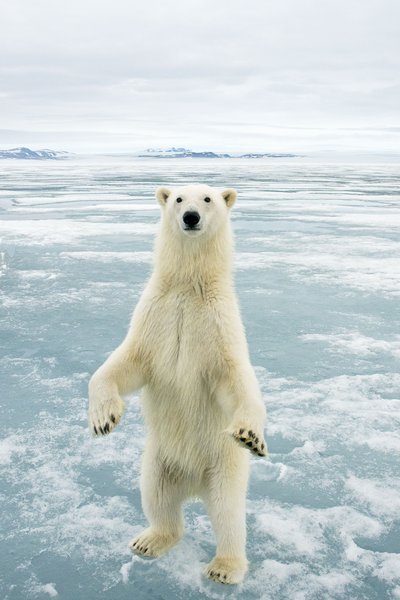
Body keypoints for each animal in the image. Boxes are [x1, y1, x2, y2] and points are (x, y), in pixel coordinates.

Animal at [89, 184, 268, 584]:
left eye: (208, 199)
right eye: (178, 199)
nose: (190, 217)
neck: (188, 286)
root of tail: (194, 486)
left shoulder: (218, 324)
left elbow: (234, 377)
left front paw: (251, 434)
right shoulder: (155, 315)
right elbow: (126, 363)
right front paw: (104, 418)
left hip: (222, 465)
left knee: (228, 512)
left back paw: (225, 567)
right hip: (160, 460)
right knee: (157, 497)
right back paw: (149, 540)